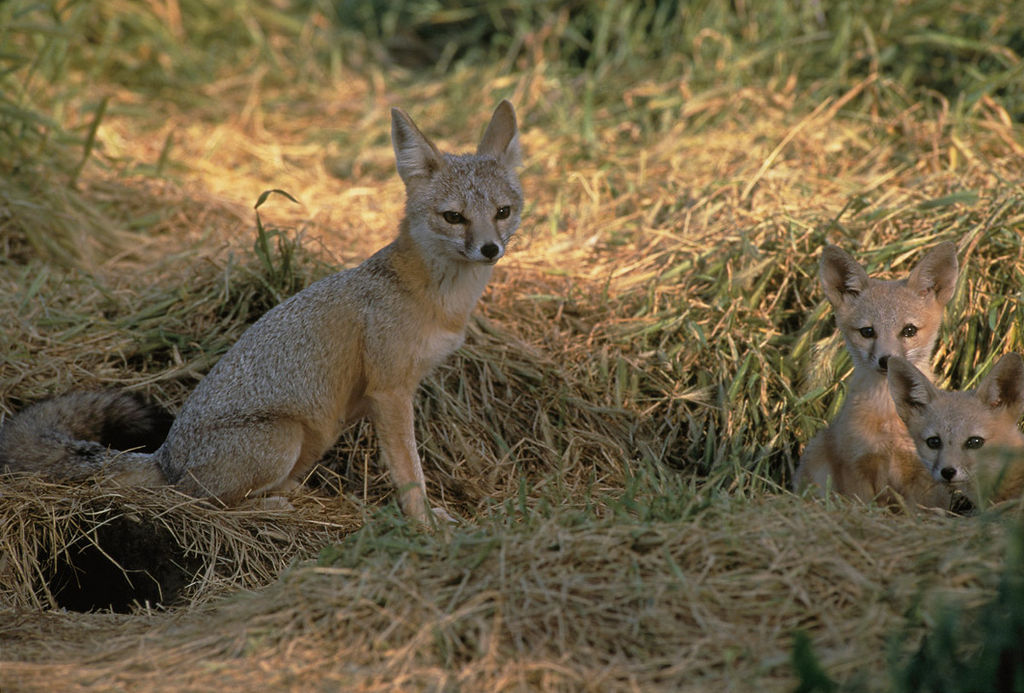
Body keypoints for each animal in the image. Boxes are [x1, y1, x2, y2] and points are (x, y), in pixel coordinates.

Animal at [0, 100, 523, 524]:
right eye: (453, 217)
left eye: (502, 211)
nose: (490, 249)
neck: (438, 299)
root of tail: (167, 458)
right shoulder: (391, 392)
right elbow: (409, 471)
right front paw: (425, 525)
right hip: (284, 438)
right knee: (202, 501)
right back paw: (270, 506)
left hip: (315, 437)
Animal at [793, 242, 959, 508]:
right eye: (867, 332)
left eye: (909, 330)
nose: (886, 359)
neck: (888, 420)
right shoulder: (857, 467)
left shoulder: (923, 476)